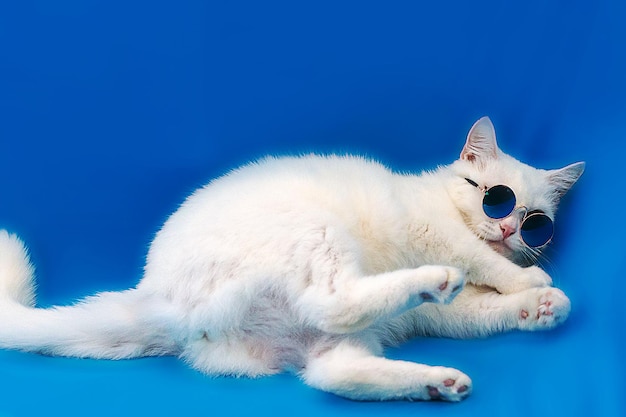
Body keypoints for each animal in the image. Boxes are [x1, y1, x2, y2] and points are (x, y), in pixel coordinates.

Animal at [0, 117, 584, 400]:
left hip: (342, 338)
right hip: (316, 234)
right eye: (494, 197)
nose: (507, 227)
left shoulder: (446, 317)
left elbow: (488, 309)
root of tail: (156, 297)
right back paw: (435, 282)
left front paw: (543, 305)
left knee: (332, 374)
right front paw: (531, 283)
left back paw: (439, 382)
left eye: (534, 220)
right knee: (336, 304)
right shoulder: (441, 235)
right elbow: (485, 265)